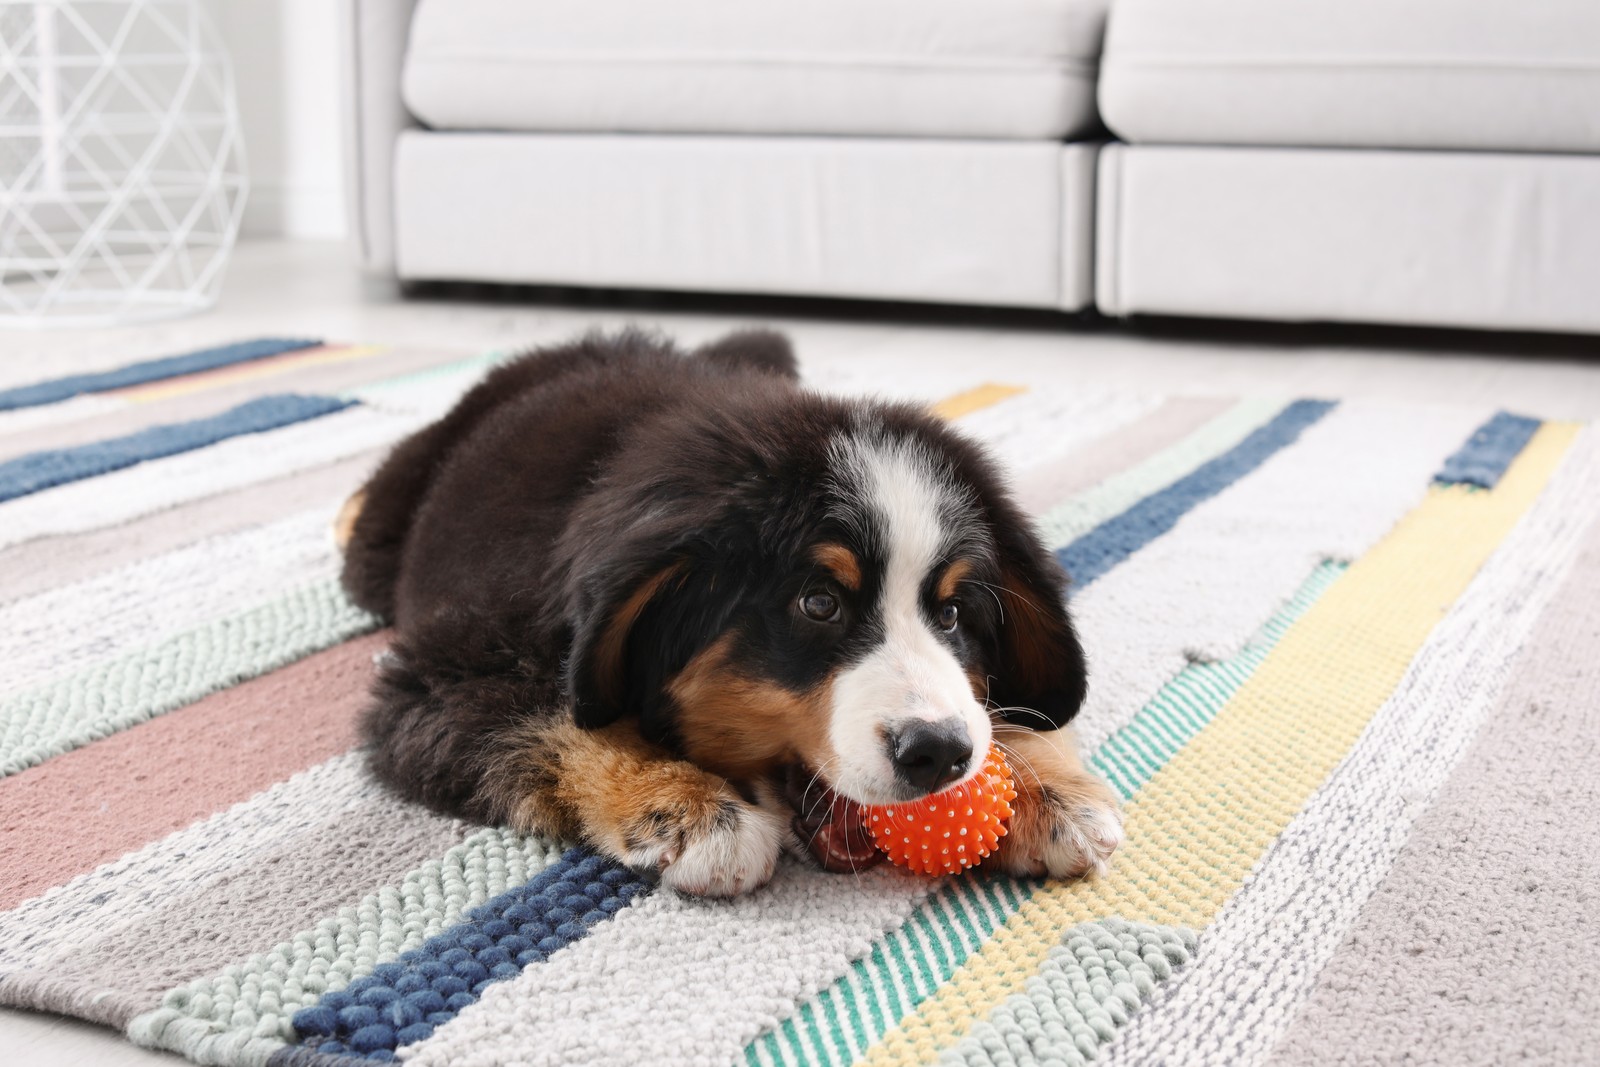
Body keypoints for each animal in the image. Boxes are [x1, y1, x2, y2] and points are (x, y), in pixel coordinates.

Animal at [336, 329, 1120, 895]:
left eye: (954, 613)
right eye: (818, 603)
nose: (938, 752)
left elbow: (1003, 710)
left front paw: (1048, 788)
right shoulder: (443, 675)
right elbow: (562, 717)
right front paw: (685, 806)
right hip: (390, 529)